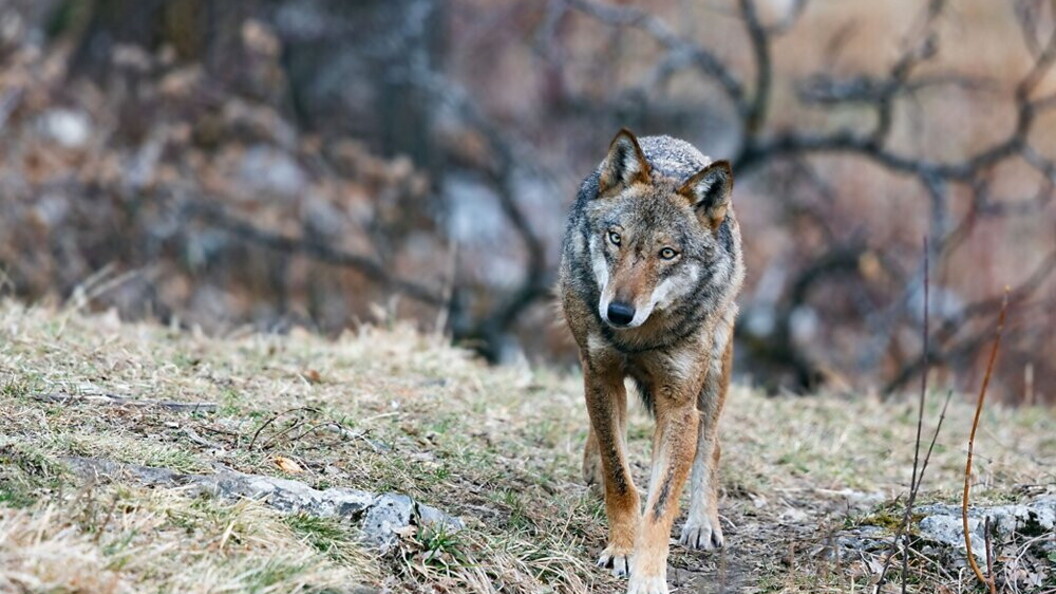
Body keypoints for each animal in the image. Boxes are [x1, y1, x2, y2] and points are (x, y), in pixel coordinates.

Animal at [559, 129, 744, 593]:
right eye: (616, 237)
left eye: (667, 253)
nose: (618, 312)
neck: (639, 337)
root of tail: (671, 141)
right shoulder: (600, 376)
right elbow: (621, 477)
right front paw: (622, 550)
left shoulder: (678, 406)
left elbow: (660, 504)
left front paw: (648, 577)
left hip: (713, 371)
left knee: (710, 444)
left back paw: (702, 523)